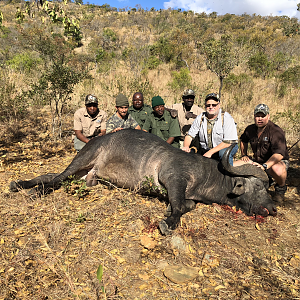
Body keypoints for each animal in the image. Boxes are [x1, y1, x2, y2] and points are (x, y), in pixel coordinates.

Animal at [9, 130, 276, 236]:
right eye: (259, 187)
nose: (273, 208)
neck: (206, 173)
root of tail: (97, 141)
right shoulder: (173, 178)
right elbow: (180, 206)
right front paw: (168, 222)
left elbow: (187, 205)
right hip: (81, 161)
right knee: (55, 179)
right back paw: (33, 191)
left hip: (86, 177)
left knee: (50, 176)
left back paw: (19, 184)